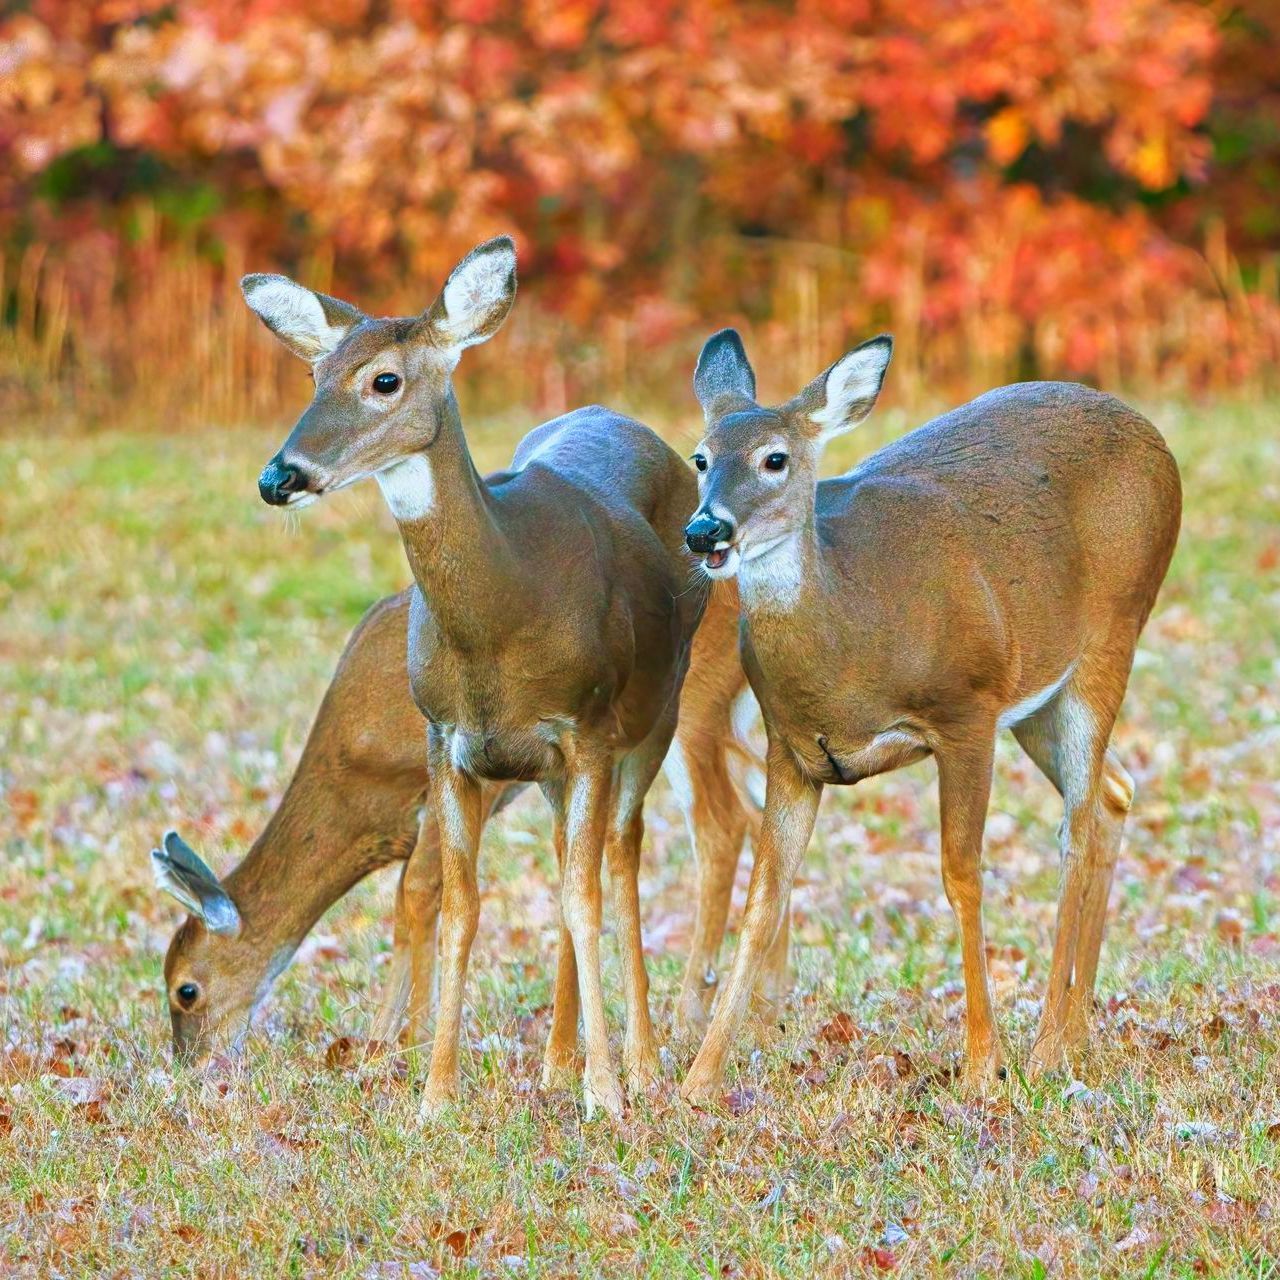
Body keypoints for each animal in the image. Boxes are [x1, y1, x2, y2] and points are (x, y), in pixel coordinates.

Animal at [153, 586, 762, 1064]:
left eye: (186, 990)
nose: (192, 1063)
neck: (357, 769)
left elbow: (418, 892)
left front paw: (403, 1042)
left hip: (693, 708)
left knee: (722, 827)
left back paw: (690, 1014)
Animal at [240, 235, 737, 1116]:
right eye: (313, 376)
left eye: (385, 380)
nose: (279, 477)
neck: (503, 622)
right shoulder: (449, 740)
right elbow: (462, 906)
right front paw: (437, 1093)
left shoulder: (586, 730)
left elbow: (583, 897)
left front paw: (607, 1094)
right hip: (550, 771)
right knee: (569, 855)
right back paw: (555, 1061)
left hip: (659, 712)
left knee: (621, 858)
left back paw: (641, 1062)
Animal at [680, 327, 1177, 1100]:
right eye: (700, 458)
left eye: (775, 459)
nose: (706, 531)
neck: (851, 637)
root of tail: (1151, 433)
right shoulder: (790, 750)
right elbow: (765, 895)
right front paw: (698, 1080)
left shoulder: (966, 711)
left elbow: (961, 875)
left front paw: (981, 1064)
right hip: (1039, 694)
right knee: (1114, 794)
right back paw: (1075, 1035)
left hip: (1112, 633)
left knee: (1081, 822)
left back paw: (1045, 1049)